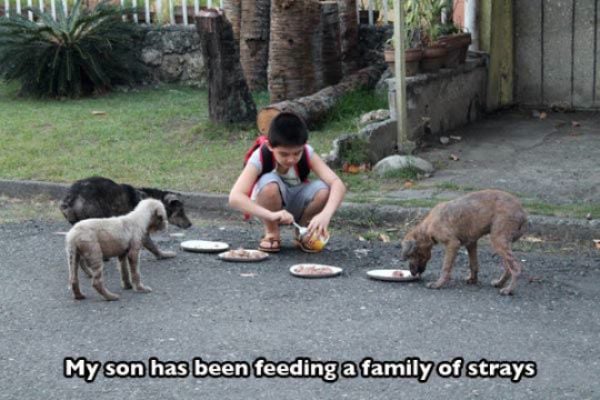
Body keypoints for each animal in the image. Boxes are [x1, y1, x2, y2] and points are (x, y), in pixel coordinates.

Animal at [57, 176, 191, 258]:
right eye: (181, 211)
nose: (190, 224)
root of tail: (71, 198)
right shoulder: (142, 232)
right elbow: (153, 246)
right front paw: (163, 255)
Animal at [400, 189, 528, 296]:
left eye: (411, 255)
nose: (413, 273)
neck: (427, 228)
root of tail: (522, 213)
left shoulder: (452, 244)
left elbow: (446, 267)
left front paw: (438, 284)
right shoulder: (471, 243)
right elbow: (473, 264)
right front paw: (473, 280)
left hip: (498, 239)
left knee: (515, 268)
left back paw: (508, 290)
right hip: (501, 242)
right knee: (508, 267)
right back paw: (500, 283)